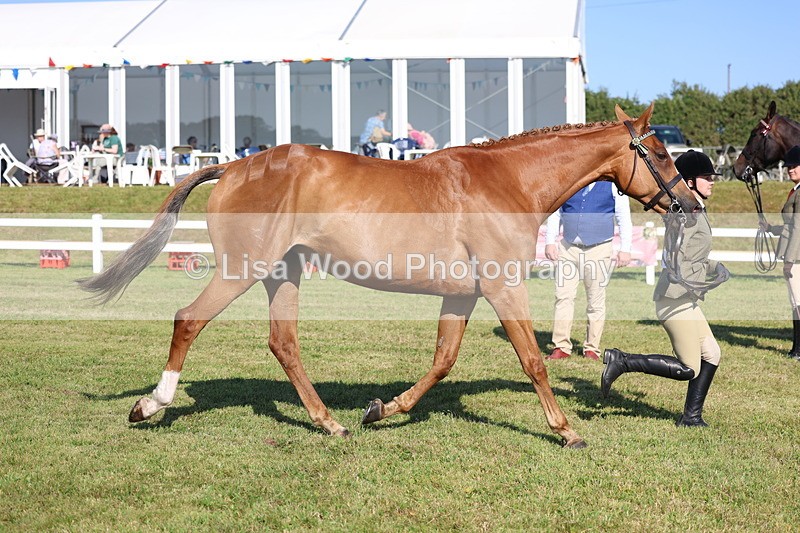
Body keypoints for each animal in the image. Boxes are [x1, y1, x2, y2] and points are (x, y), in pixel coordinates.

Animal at [78, 103, 700, 449]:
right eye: (660, 155)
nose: (690, 204)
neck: (508, 181)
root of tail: (234, 165)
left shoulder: (464, 295)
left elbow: (443, 361)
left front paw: (384, 409)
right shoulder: (503, 288)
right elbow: (532, 361)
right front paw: (566, 429)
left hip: (283, 274)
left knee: (284, 343)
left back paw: (330, 422)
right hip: (242, 269)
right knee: (189, 320)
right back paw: (151, 405)